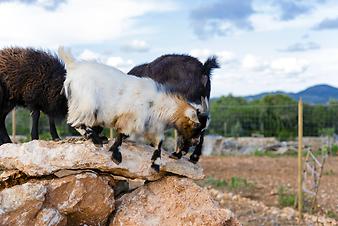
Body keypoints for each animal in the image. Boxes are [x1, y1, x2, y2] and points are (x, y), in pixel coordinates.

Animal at [57, 47, 201, 171]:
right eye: (195, 125)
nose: (196, 141)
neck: (158, 104)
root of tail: (74, 66)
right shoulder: (131, 118)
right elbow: (123, 135)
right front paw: (116, 155)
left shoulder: (153, 126)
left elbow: (159, 143)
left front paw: (156, 163)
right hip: (86, 104)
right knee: (75, 122)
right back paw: (96, 139)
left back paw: (98, 138)